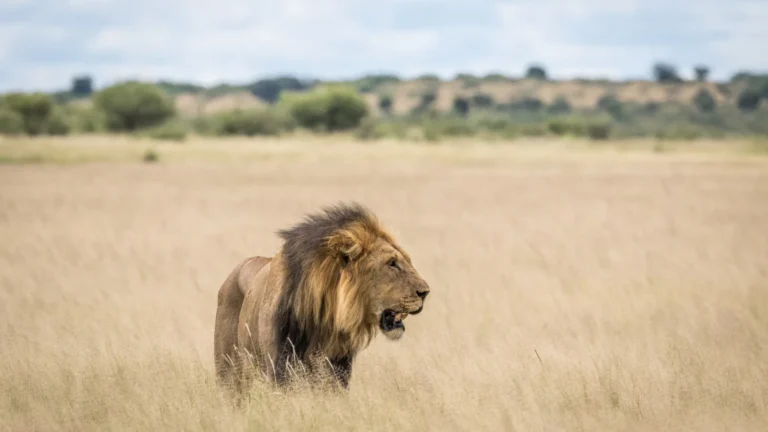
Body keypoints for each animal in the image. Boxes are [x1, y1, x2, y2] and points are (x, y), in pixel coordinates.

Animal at [213, 202, 431, 396]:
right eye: (392, 263)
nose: (426, 292)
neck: (325, 319)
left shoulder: (338, 370)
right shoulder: (280, 368)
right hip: (230, 372)